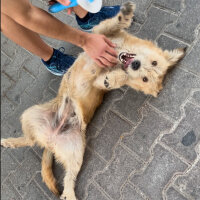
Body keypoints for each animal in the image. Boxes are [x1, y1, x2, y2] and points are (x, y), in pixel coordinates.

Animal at [1, 2, 186, 200]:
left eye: (145, 79)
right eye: (153, 63)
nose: (135, 65)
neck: (119, 55)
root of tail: (50, 140)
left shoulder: (98, 80)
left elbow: (115, 79)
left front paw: (114, 78)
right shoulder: (99, 35)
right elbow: (112, 25)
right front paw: (125, 14)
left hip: (75, 151)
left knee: (60, 169)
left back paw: (67, 192)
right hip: (30, 114)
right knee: (30, 140)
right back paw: (9, 142)